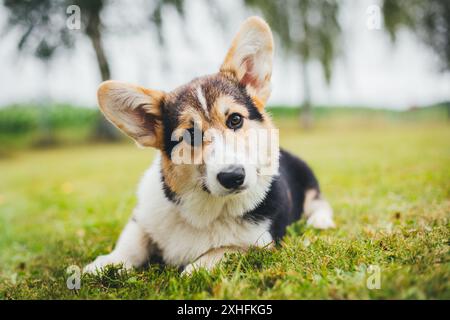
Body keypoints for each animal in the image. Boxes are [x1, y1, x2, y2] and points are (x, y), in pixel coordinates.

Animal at [84, 16, 334, 276]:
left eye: (235, 120)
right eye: (190, 134)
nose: (233, 177)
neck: (207, 212)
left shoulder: (259, 243)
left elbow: (220, 252)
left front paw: (191, 270)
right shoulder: (142, 218)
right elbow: (133, 241)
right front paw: (106, 263)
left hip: (309, 182)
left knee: (319, 203)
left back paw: (320, 221)